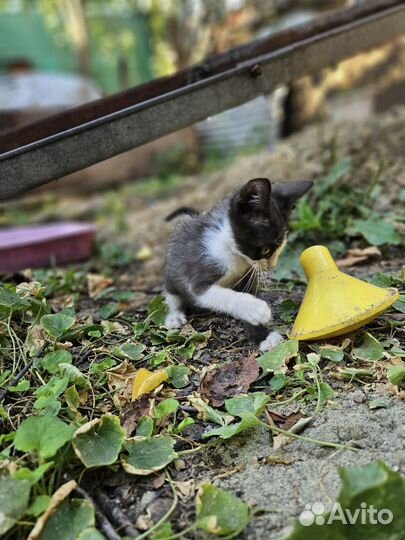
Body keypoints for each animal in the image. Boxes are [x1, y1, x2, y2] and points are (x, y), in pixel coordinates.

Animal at [163, 179, 310, 352]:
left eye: (280, 247)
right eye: (266, 250)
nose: (271, 266)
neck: (233, 253)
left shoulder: (247, 276)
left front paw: (263, 337)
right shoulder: (196, 276)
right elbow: (225, 296)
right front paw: (256, 309)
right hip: (172, 272)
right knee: (172, 294)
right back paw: (175, 316)